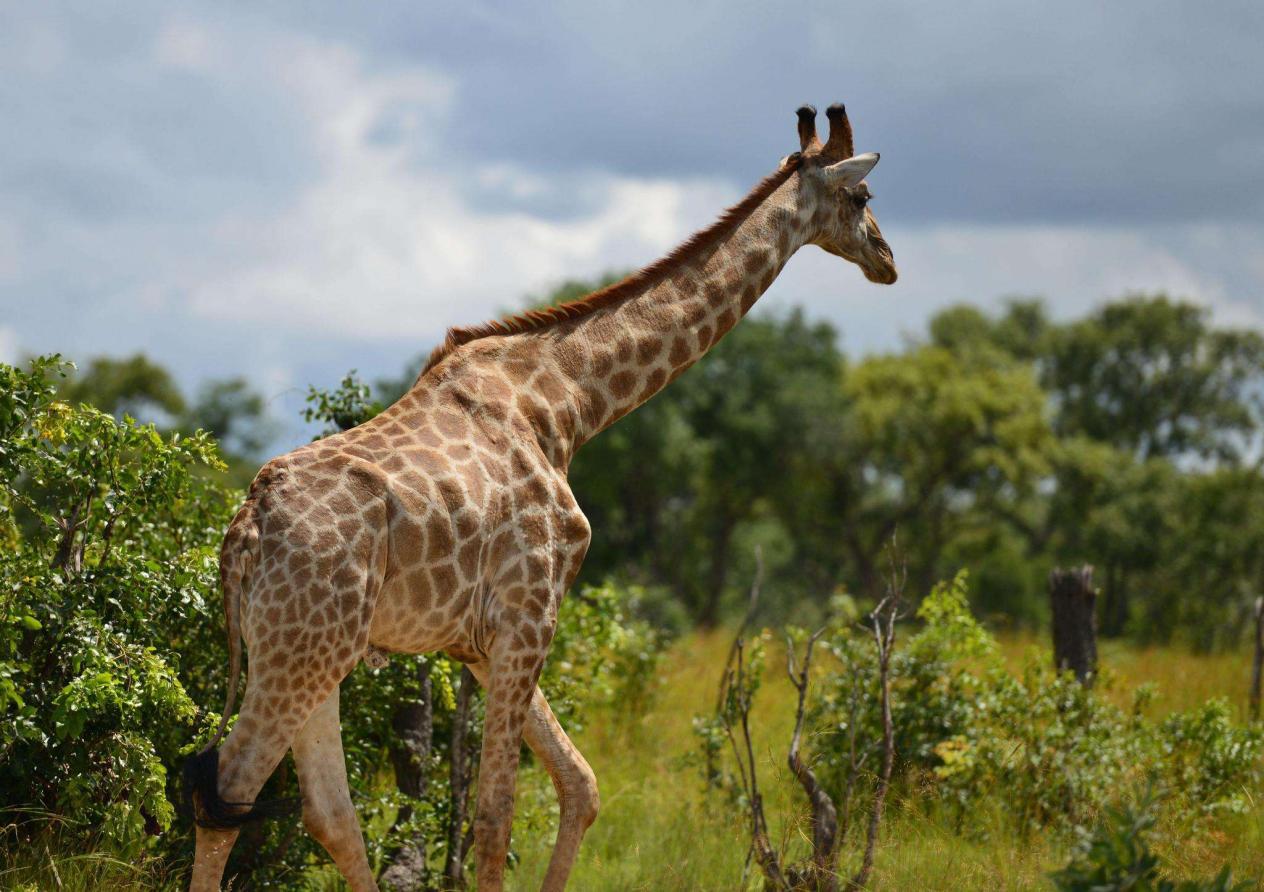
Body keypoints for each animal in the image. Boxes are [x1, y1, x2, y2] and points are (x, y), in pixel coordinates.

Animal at [187, 101, 899, 884]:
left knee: (326, 812)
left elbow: (579, 783)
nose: (888, 260)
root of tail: (243, 531)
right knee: (230, 787)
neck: (567, 404)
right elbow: (495, 810)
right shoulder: (531, 610)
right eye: (862, 196)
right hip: (304, 646)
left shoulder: (480, 638)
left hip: (313, 652)